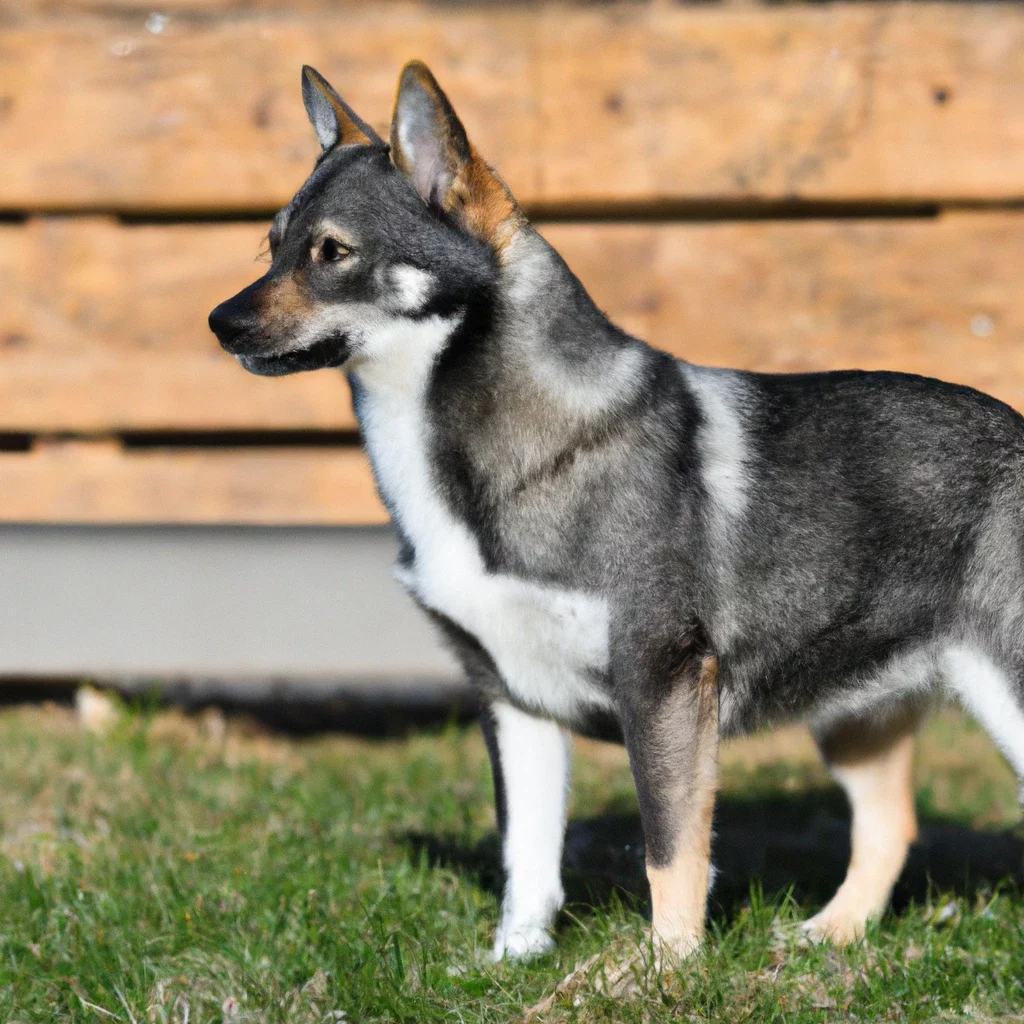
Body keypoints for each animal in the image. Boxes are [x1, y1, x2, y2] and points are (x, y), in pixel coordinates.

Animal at [209, 61, 1024, 958]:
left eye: (333, 252)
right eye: (273, 246)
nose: (219, 322)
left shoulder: (660, 685)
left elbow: (671, 851)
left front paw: (669, 969)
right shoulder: (513, 702)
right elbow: (526, 858)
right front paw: (513, 962)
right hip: (857, 717)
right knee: (888, 829)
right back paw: (828, 938)